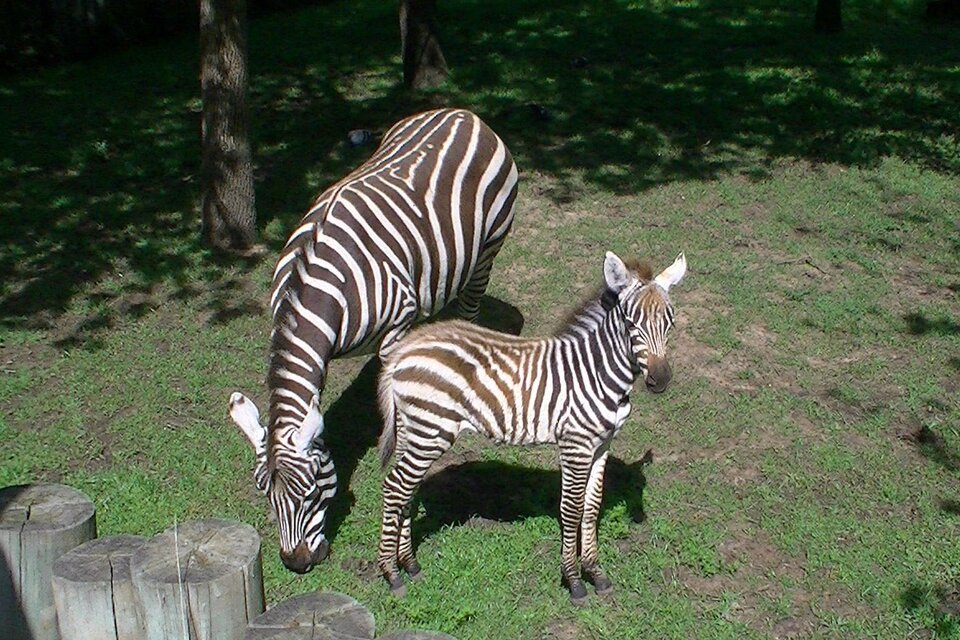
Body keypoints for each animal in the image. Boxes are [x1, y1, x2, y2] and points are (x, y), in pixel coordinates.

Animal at [230, 109, 520, 576]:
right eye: (266, 495)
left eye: (311, 493)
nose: (296, 564)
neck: (314, 286)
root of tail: (462, 113)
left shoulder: (395, 329)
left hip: (488, 250)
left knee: (471, 308)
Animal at [374, 249, 684, 600]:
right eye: (631, 323)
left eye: (670, 322)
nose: (660, 380)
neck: (596, 371)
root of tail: (404, 349)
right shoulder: (575, 445)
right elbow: (572, 508)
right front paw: (574, 580)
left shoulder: (602, 444)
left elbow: (592, 507)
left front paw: (596, 572)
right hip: (431, 430)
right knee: (394, 488)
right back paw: (391, 573)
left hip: (415, 431)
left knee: (406, 491)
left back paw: (410, 563)